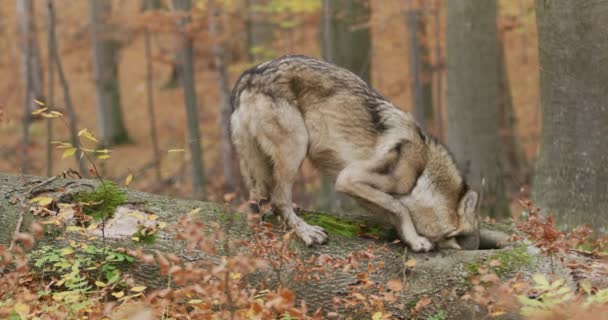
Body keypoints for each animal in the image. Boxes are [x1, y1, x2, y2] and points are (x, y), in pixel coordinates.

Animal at [229, 55, 480, 252]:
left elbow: (394, 210)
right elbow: (399, 206)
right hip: (296, 148)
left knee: (262, 198)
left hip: (262, 164)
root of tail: (248, 76)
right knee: (279, 198)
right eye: (458, 239)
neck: (422, 173)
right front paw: (417, 241)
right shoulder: (348, 179)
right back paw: (307, 232)